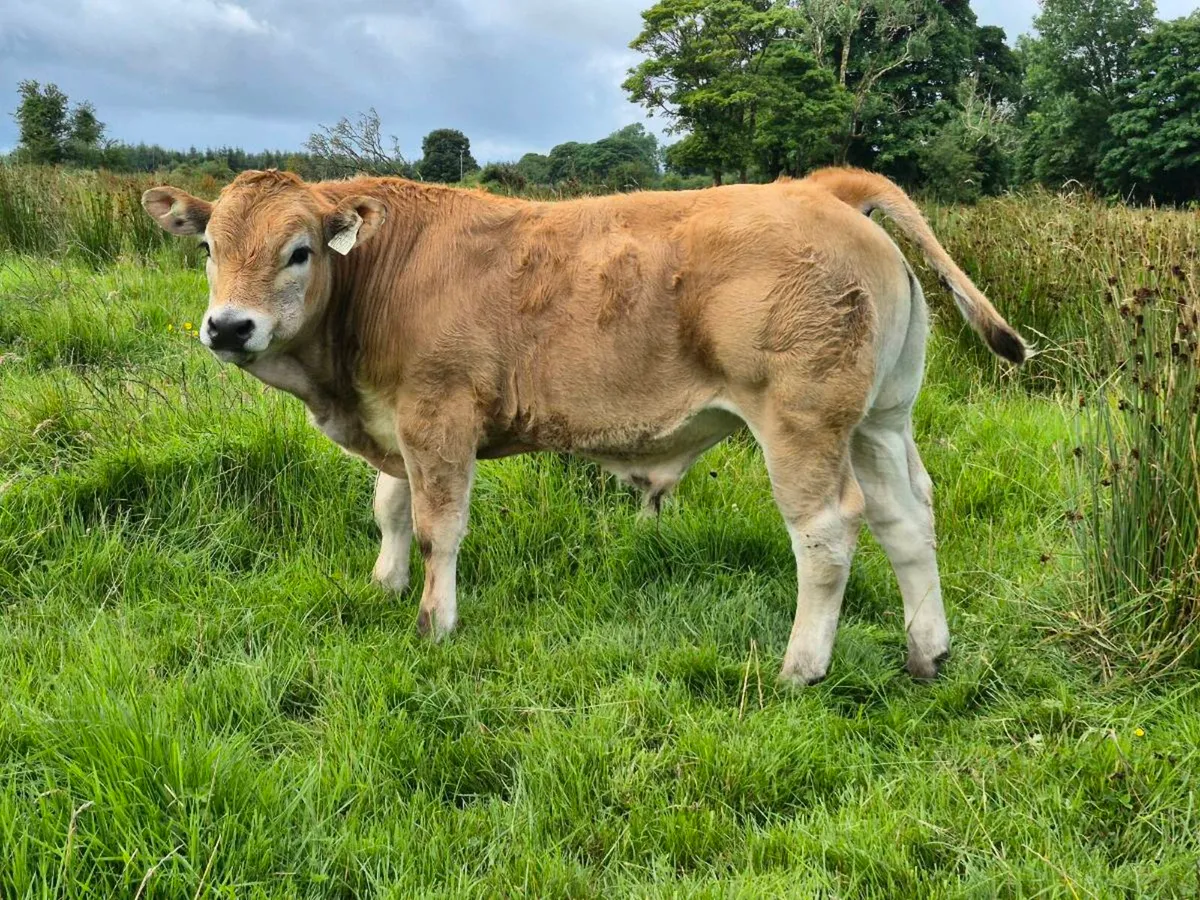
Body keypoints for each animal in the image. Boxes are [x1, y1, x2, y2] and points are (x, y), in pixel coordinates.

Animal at [141, 167, 1025, 685]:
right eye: (210, 246)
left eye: (298, 251)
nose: (229, 327)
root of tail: (820, 187)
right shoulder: (395, 422)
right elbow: (389, 509)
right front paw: (384, 584)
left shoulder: (439, 414)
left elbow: (437, 527)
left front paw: (433, 622)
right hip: (881, 421)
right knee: (906, 518)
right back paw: (927, 651)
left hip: (801, 424)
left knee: (828, 530)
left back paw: (801, 667)